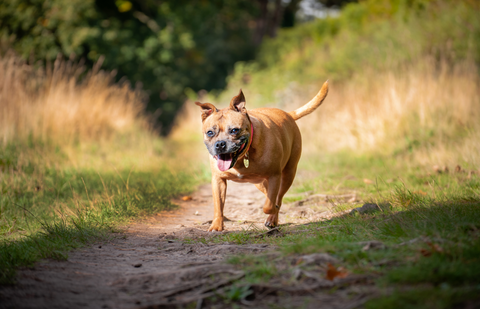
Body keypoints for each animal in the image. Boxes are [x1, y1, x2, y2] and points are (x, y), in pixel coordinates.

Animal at [197, 80, 328, 230]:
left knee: (278, 197)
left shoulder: (274, 176)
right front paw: (216, 225)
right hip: (259, 182)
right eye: (210, 133)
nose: (220, 144)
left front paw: (271, 211)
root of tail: (288, 114)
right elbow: (218, 206)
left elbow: (269, 205)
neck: (242, 158)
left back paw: (272, 218)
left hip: (288, 174)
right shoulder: (218, 180)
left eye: (234, 130)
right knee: (270, 194)